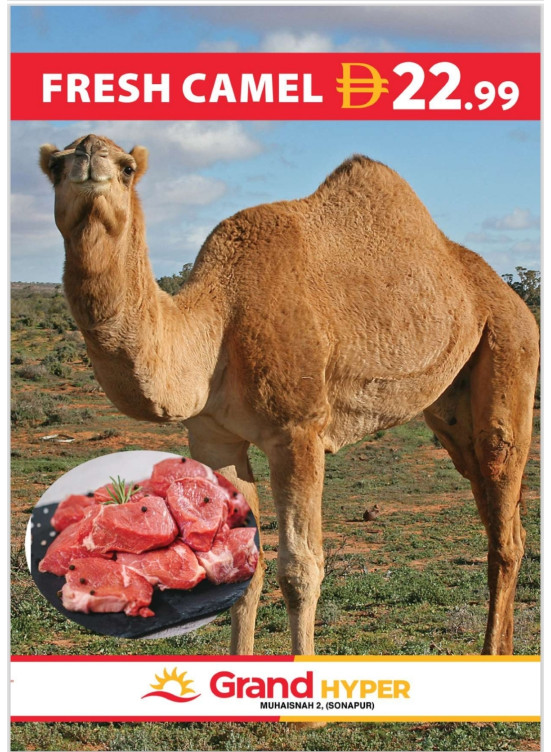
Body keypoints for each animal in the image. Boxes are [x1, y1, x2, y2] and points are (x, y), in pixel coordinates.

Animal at [39, 134, 539, 656]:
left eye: (127, 167)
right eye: (55, 166)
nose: (89, 156)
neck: (219, 322)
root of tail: (510, 296)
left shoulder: (298, 431)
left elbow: (300, 570)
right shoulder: (214, 438)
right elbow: (242, 564)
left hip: (510, 347)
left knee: (505, 515)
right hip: (451, 409)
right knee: (498, 512)